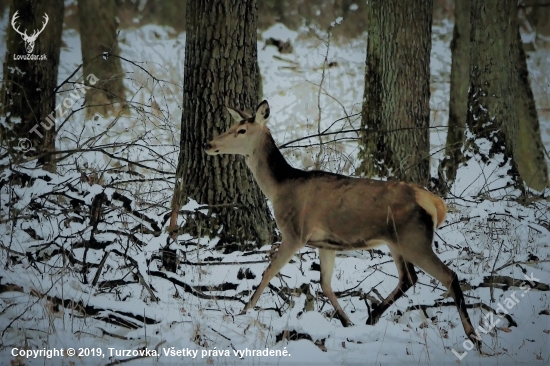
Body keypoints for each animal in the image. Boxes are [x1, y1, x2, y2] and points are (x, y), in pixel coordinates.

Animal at [205, 99, 480, 348]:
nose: (209, 144)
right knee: (408, 278)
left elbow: (268, 272)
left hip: (414, 238)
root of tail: (435, 202)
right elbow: (325, 284)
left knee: (448, 275)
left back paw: (473, 337)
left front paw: (244, 311)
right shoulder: (325, 243)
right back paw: (373, 316)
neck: (279, 188)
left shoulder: (295, 232)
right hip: (397, 241)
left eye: (241, 130)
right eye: (231, 125)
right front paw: (347, 322)